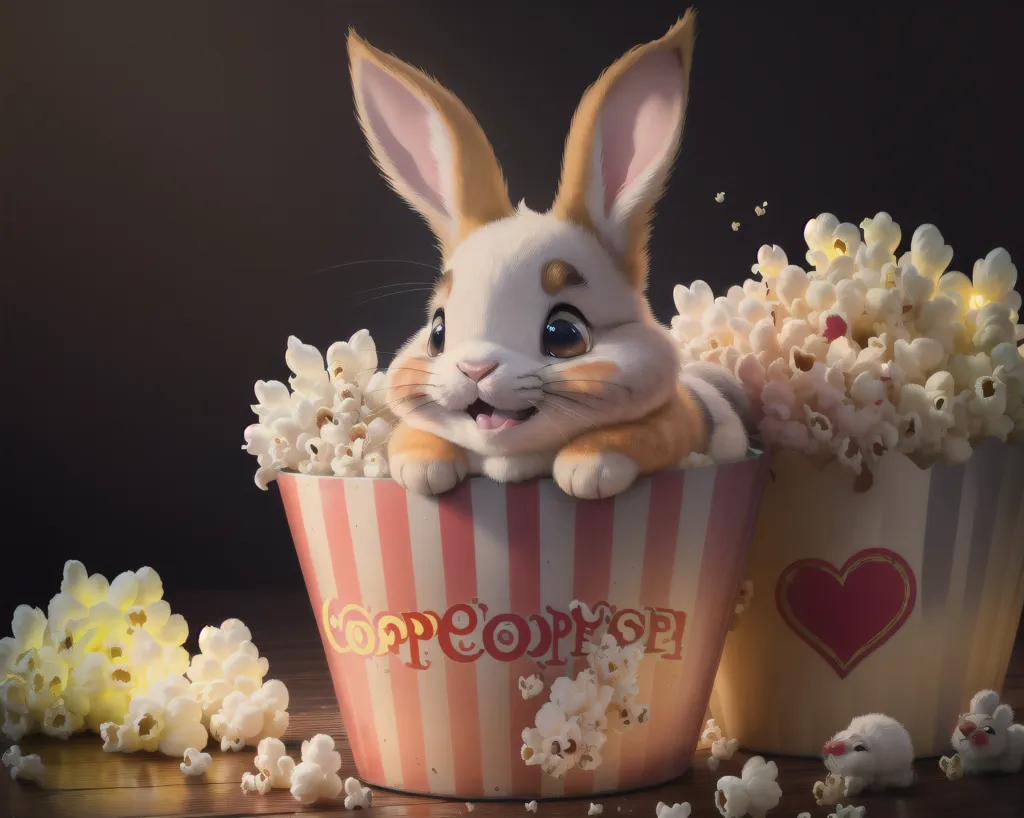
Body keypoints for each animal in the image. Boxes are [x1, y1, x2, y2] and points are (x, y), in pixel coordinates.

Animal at [344, 12, 753, 499]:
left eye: (564, 334)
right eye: (437, 334)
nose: (474, 368)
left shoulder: (679, 419)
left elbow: (644, 433)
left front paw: (587, 467)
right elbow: (412, 434)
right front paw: (423, 467)